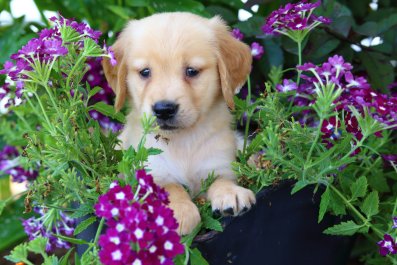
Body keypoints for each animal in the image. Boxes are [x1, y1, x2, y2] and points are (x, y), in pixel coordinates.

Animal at [103, 11, 254, 235]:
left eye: (191, 71)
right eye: (145, 72)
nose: (164, 109)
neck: (183, 141)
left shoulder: (218, 162)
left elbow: (221, 179)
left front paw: (231, 193)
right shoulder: (151, 170)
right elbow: (170, 188)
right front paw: (179, 213)